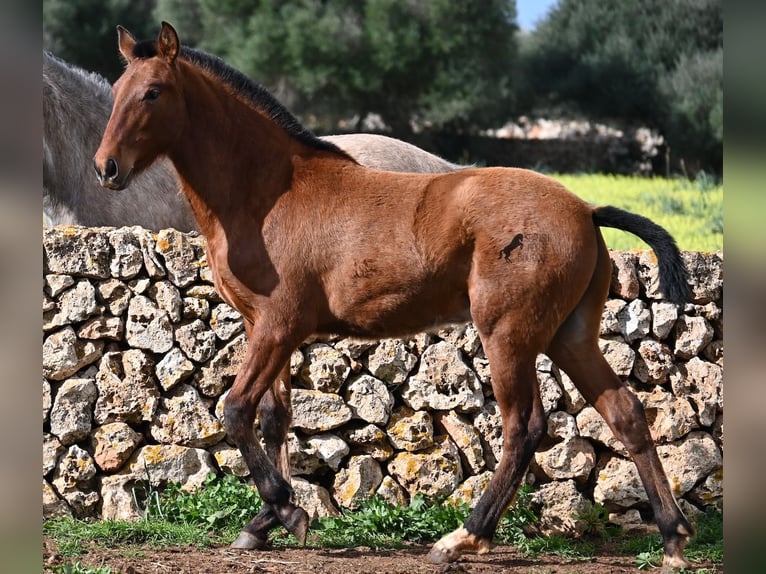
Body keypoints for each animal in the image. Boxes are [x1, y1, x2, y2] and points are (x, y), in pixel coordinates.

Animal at [94, 23, 696, 572]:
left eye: (153, 92)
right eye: (118, 88)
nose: (107, 168)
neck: (269, 196)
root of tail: (586, 210)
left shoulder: (279, 325)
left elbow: (237, 411)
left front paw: (289, 512)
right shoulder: (262, 327)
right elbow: (273, 419)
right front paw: (263, 524)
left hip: (509, 336)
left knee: (524, 428)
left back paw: (463, 538)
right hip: (570, 337)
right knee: (625, 413)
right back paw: (672, 539)